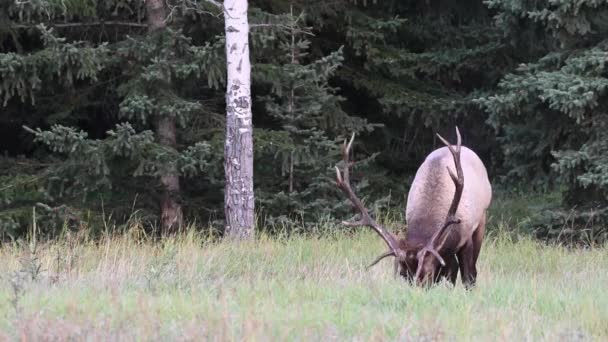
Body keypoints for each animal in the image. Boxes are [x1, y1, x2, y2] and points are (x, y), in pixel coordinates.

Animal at [334, 127, 492, 288]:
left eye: (428, 274)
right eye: (403, 274)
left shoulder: (466, 235)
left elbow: (468, 276)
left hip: (482, 219)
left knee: (471, 271)